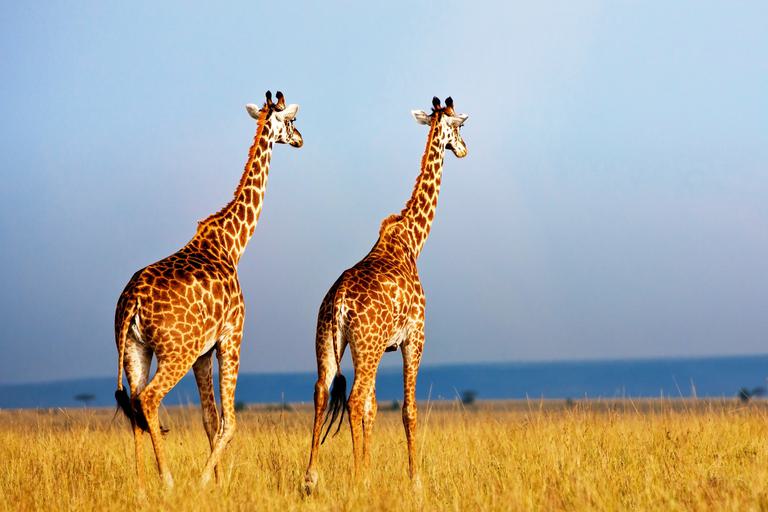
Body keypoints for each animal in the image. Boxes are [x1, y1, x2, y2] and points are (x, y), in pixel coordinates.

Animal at [113, 90, 302, 489]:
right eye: (292, 120)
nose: (300, 140)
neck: (232, 244)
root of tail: (131, 302)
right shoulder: (232, 334)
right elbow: (229, 423)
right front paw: (205, 482)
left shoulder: (204, 350)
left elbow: (209, 420)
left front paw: (214, 483)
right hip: (176, 351)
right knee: (149, 399)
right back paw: (168, 481)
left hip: (135, 350)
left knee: (134, 405)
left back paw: (141, 487)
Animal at [303, 96, 468, 492]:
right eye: (460, 126)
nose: (464, 150)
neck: (412, 241)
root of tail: (339, 301)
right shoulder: (414, 337)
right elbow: (407, 409)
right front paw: (414, 480)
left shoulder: (384, 347)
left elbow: (374, 409)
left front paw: (371, 468)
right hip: (366, 344)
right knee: (354, 398)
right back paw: (355, 478)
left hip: (330, 340)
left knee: (322, 391)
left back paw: (311, 477)